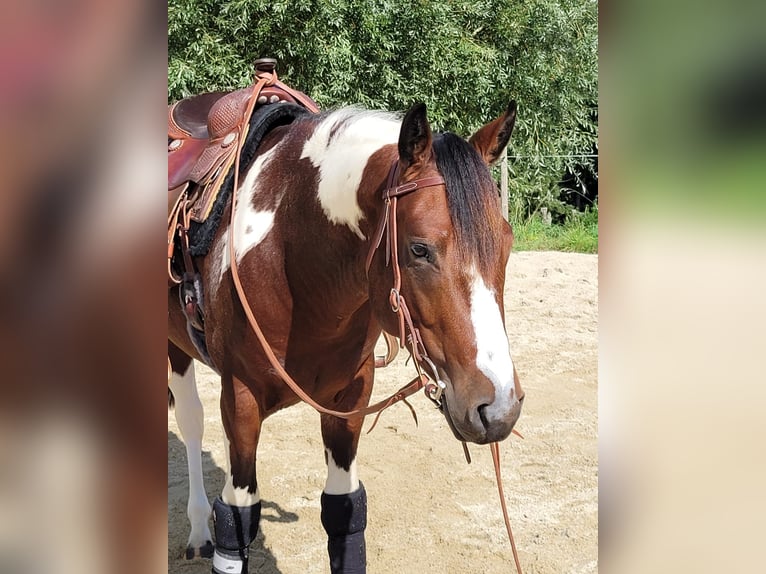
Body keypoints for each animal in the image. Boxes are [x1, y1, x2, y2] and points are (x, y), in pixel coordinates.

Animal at [170, 101, 524, 572]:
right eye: (419, 249)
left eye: (506, 244)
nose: (498, 408)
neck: (290, 245)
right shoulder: (240, 400)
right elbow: (237, 518)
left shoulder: (350, 399)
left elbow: (344, 512)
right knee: (190, 422)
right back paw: (197, 531)